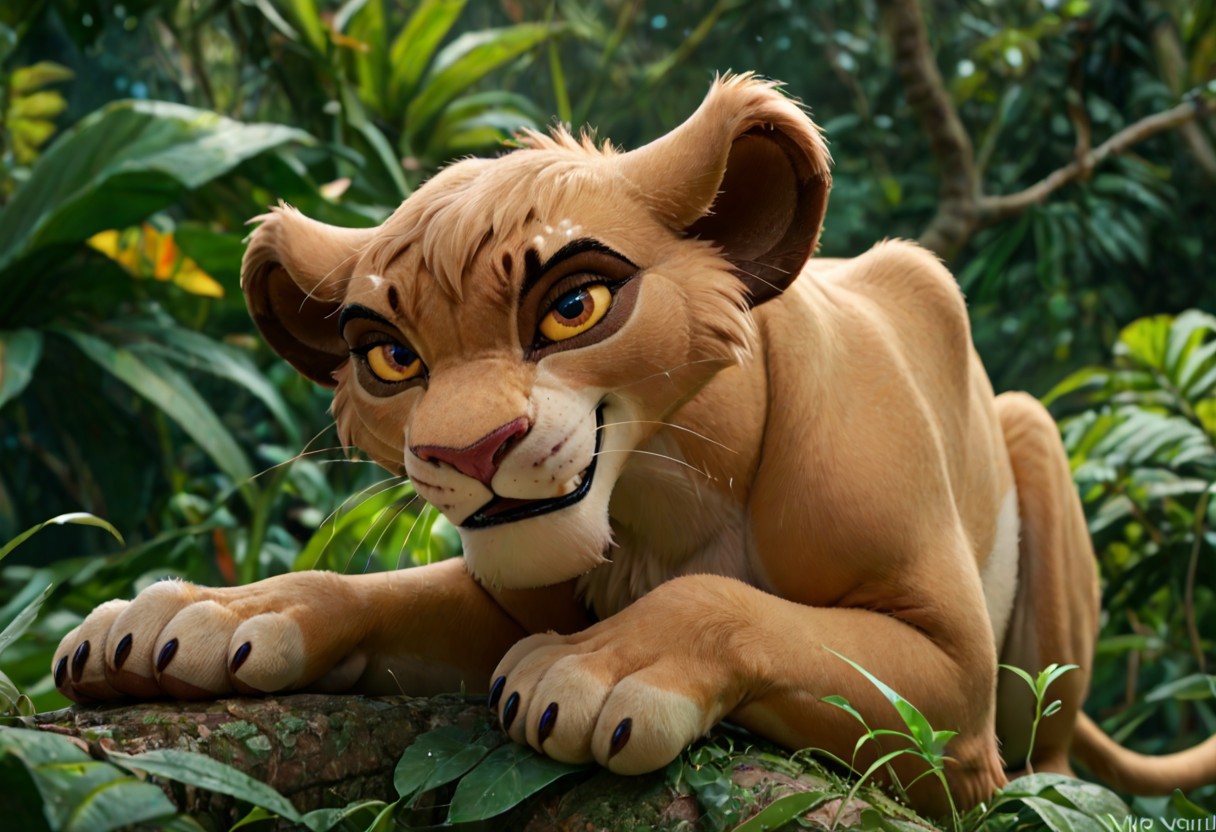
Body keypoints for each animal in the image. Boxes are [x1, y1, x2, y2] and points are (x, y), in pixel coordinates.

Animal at [53, 75, 1216, 815]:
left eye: (575, 305)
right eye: (387, 356)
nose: (469, 451)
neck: (665, 498)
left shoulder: (955, 694)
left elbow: (725, 602)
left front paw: (601, 672)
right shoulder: (501, 596)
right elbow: (368, 592)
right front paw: (192, 620)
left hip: (1036, 477)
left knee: (1052, 755)